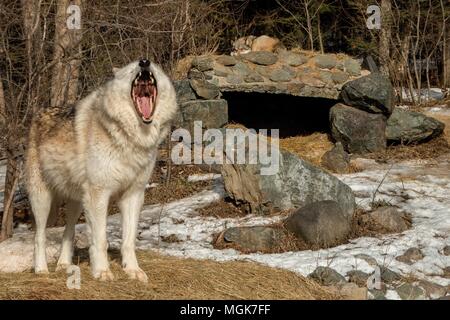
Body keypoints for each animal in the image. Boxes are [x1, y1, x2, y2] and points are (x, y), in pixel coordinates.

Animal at [25, 58, 178, 282]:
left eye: (155, 68)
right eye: (132, 68)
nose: (144, 62)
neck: (131, 139)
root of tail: (38, 114)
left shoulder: (133, 195)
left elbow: (129, 240)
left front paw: (133, 270)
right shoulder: (99, 194)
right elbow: (100, 239)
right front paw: (102, 271)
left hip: (77, 202)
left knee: (68, 231)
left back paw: (64, 265)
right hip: (42, 199)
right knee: (39, 235)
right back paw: (41, 270)